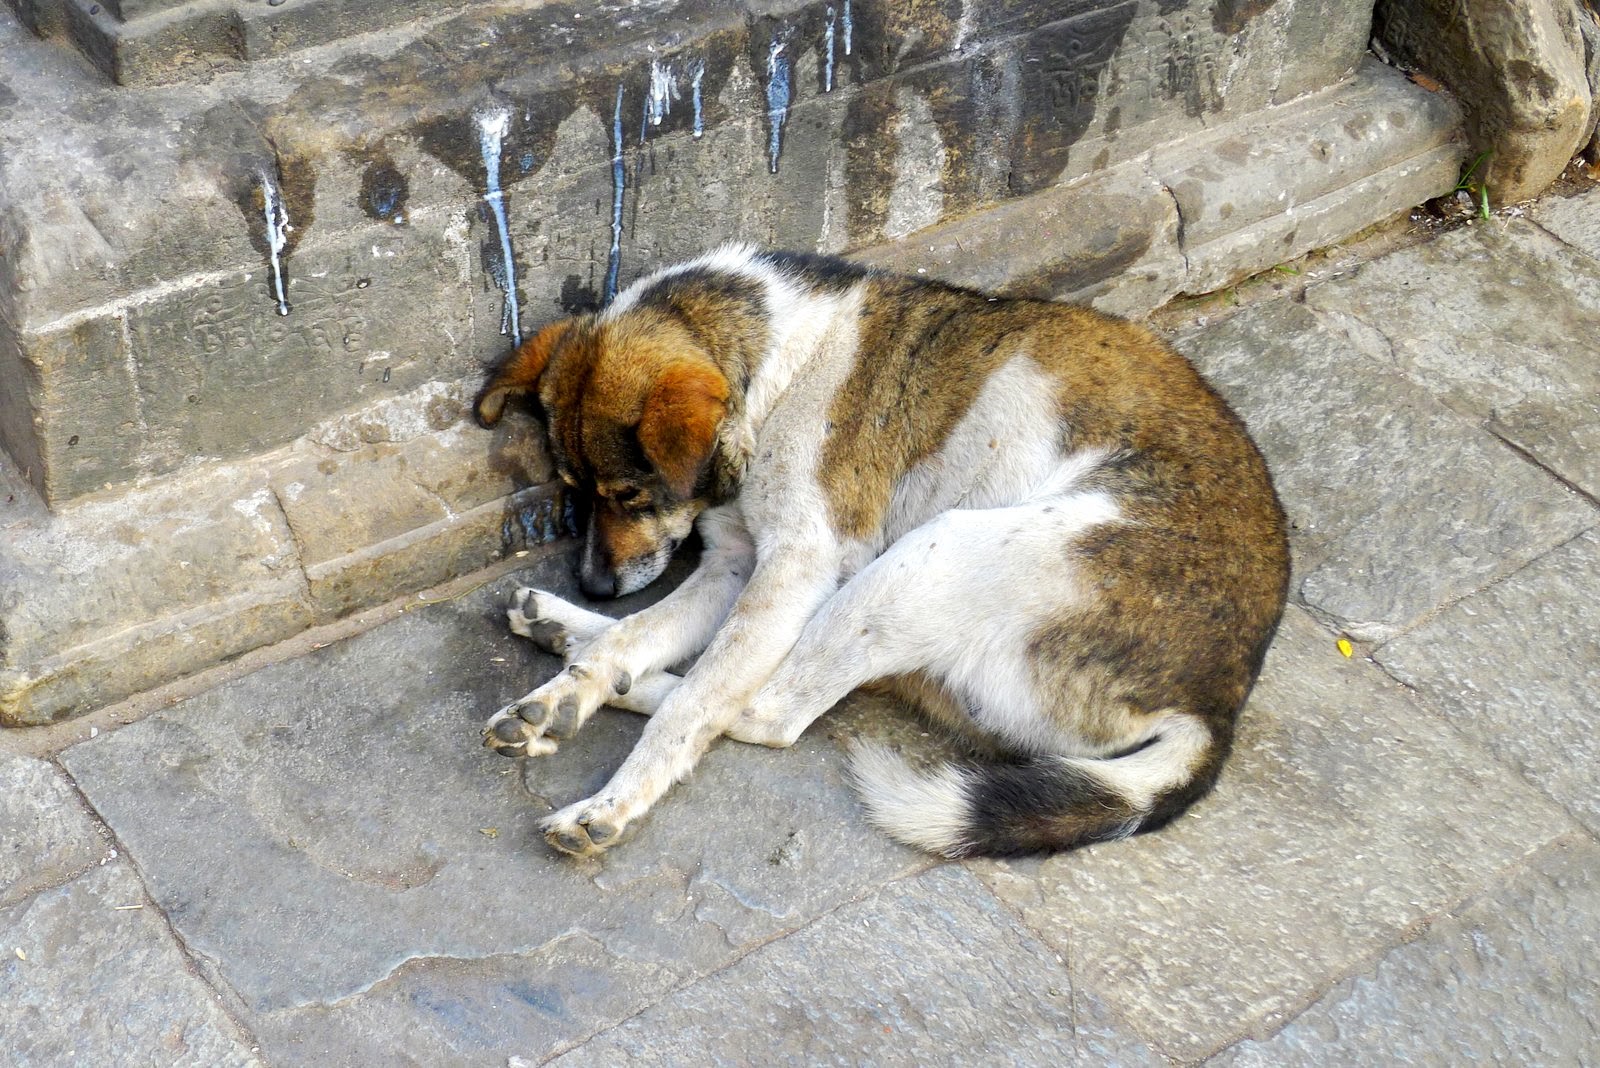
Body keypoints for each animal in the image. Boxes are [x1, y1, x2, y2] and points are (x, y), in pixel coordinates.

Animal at [473, 245, 1289, 859]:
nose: (594, 583)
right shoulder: (735, 564)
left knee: (765, 711)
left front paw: (611, 799)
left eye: (631, 495)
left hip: (933, 552)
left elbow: (700, 701)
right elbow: (643, 635)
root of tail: (1213, 708)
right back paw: (561, 632)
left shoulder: (796, 567)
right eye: (574, 489)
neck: (777, 362)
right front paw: (572, 682)